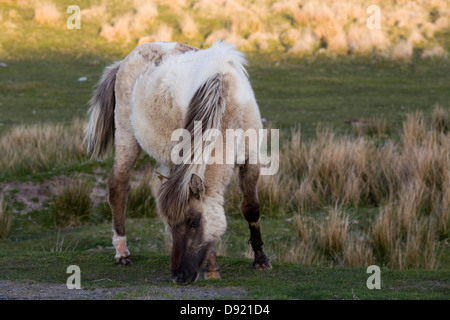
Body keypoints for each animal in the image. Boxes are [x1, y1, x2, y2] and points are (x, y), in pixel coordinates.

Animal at [84, 40, 270, 284]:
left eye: (193, 222)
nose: (179, 275)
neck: (228, 103)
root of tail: (125, 61)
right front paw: (212, 268)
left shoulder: (251, 158)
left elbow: (251, 208)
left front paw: (261, 260)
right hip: (127, 137)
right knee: (118, 185)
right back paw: (122, 252)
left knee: (156, 187)